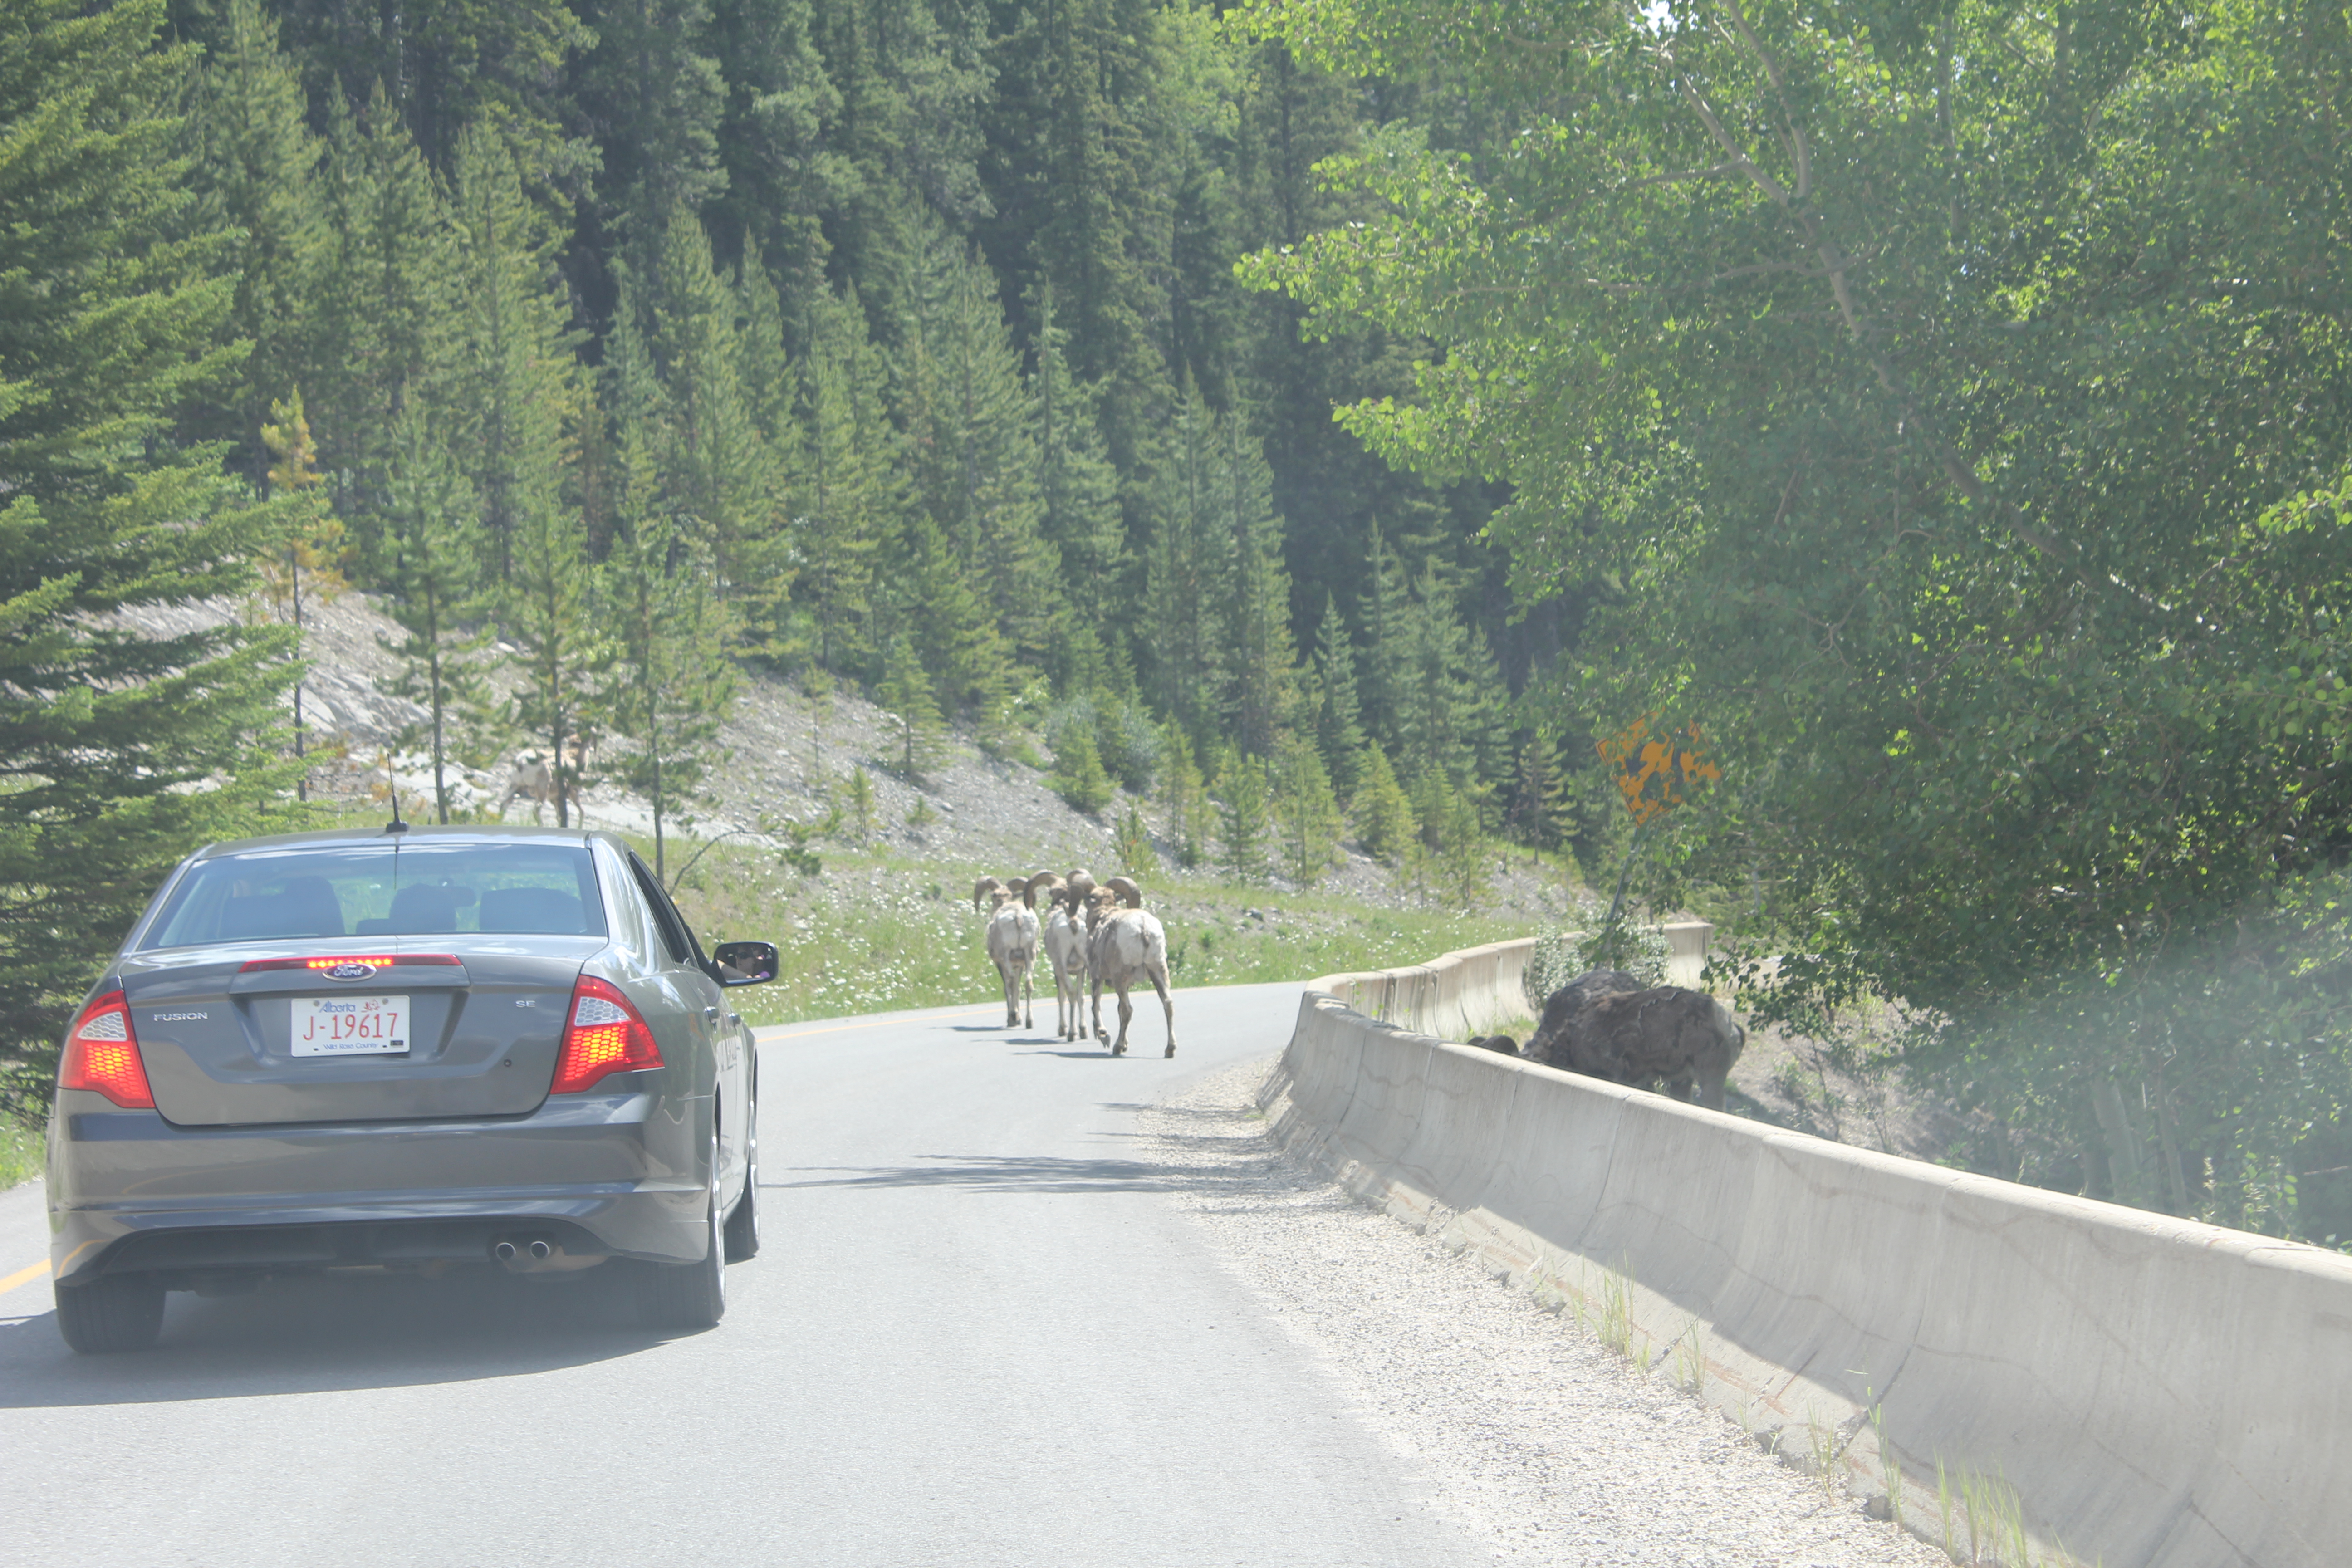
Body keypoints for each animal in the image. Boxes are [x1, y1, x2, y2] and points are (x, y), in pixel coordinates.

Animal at [983, 888, 1039, 1034]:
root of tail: (1017, 915)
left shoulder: (1001, 964)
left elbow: (1008, 988)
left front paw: (1014, 1018)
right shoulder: (1020, 964)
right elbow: (1018, 989)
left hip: (1006, 954)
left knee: (1011, 982)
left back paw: (1012, 1018)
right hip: (1030, 953)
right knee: (1028, 984)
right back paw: (1029, 1022)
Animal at [1082, 888, 1176, 1062]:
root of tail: (1143, 927)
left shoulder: (1096, 974)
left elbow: (1096, 1005)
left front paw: (1104, 1035)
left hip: (1121, 976)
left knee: (1127, 1010)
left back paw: (1117, 1047)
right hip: (1158, 970)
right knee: (1168, 1004)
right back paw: (1170, 1049)